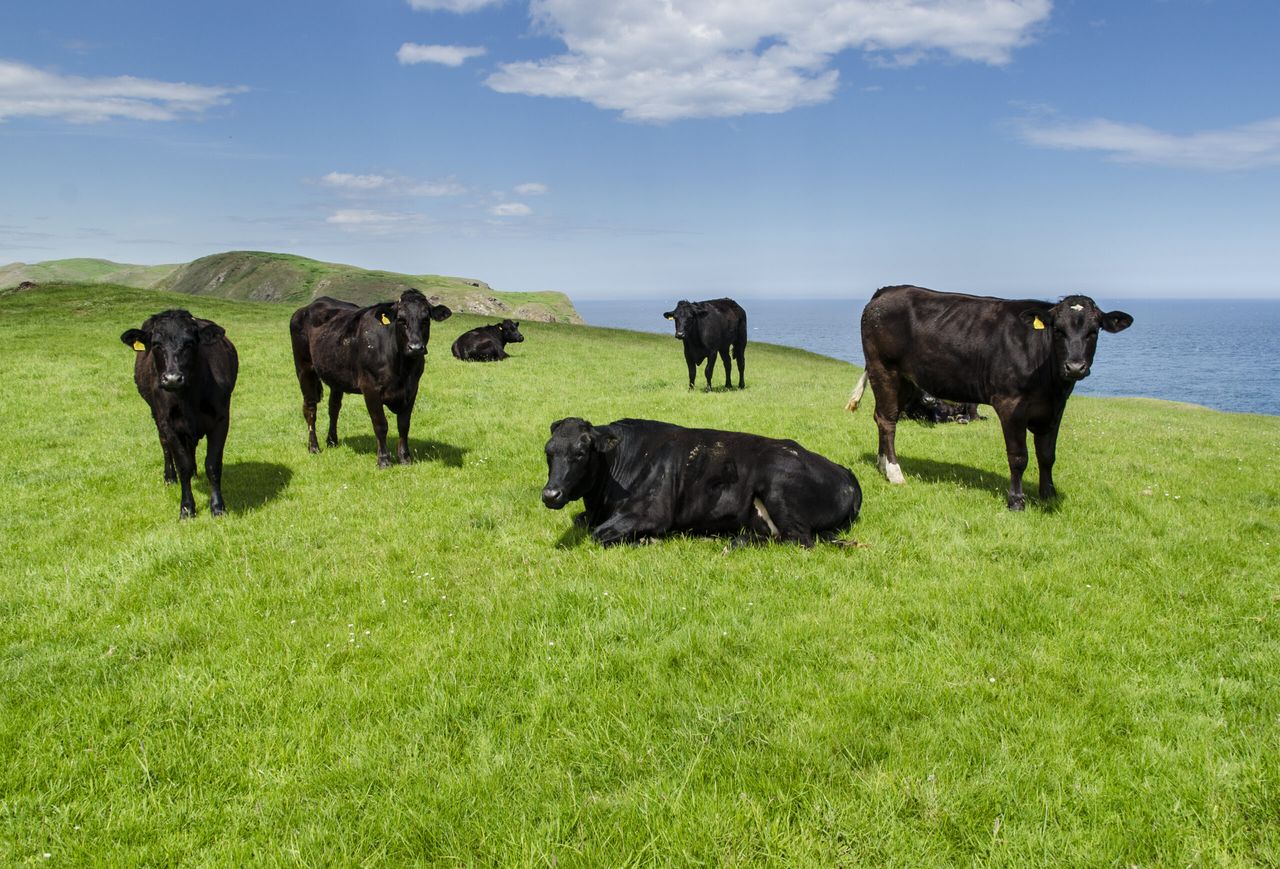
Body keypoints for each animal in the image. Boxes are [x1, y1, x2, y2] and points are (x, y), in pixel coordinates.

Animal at [121, 309, 240, 519]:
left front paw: (218, 507)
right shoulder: (168, 423)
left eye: (189, 343)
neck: (189, 397)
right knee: (165, 445)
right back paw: (170, 477)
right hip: (156, 415)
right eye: (156, 344)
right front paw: (187, 508)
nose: (172, 378)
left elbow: (213, 464)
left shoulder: (221, 420)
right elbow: (182, 464)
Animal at [293, 290, 453, 468]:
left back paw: (332, 441)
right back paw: (313, 447)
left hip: (336, 377)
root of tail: (308, 307)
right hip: (304, 369)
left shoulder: (412, 389)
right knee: (310, 409)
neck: (402, 369)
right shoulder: (370, 388)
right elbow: (380, 424)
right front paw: (384, 460)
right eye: (400, 319)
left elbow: (404, 424)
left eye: (425, 319)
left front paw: (405, 458)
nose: (416, 347)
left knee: (334, 408)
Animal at [540, 417, 860, 547]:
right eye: (548, 451)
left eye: (580, 453)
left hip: (779, 483)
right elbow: (583, 522)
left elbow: (599, 534)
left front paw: (647, 539)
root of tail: (844, 472)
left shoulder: (651, 514)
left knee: (798, 540)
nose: (550, 494)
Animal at [849, 285, 1131, 509]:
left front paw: (1048, 495)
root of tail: (888, 290)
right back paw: (895, 473)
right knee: (888, 421)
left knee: (881, 417)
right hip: (884, 369)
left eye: (1094, 331)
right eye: (1058, 330)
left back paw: (882, 464)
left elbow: (1047, 455)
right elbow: (1019, 457)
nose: (1074, 367)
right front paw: (1016, 501)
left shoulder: (1054, 409)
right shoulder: (1011, 405)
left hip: (907, 379)